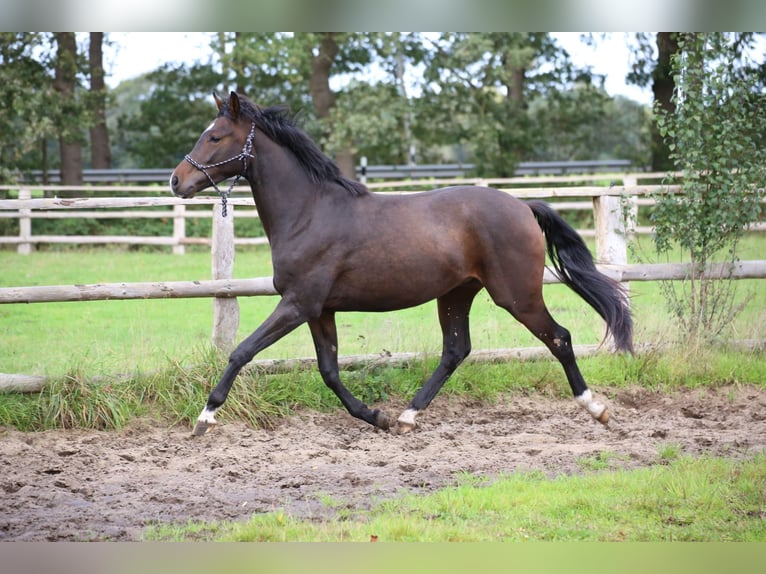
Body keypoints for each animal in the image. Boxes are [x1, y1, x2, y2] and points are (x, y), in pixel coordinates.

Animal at [170, 91, 633, 436]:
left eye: (215, 137)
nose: (177, 181)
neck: (309, 212)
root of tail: (523, 206)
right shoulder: (320, 310)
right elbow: (329, 371)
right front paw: (378, 417)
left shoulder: (298, 303)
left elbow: (242, 351)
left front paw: (205, 418)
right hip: (457, 293)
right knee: (456, 350)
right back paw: (409, 416)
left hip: (517, 295)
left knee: (559, 338)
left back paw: (596, 408)